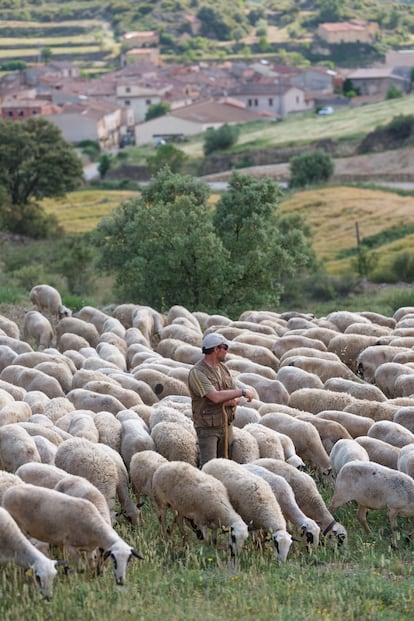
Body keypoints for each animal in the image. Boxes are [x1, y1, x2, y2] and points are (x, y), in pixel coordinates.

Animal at [1, 484, 142, 580]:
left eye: (129, 560)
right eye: (114, 559)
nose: (120, 580)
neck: (95, 526)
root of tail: (8, 492)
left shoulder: (90, 549)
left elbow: (91, 565)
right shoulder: (72, 547)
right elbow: (81, 569)